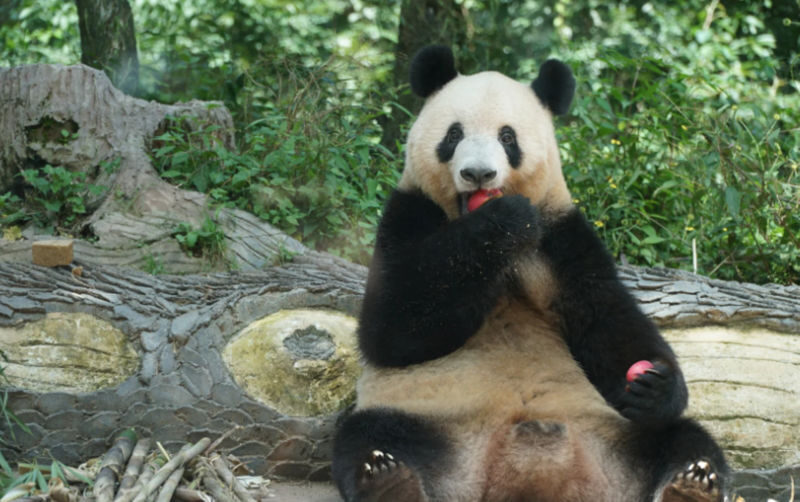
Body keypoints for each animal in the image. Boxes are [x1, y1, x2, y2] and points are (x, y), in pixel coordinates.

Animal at [332, 45, 729, 502]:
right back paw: (388, 478)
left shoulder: (561, 237)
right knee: (367, 434)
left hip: (614, 435)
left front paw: (654, 387)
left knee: (684, 438)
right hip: (432, 422)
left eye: (508, 138)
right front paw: (502, 220)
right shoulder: (410, 210)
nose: (478, 174)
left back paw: (692, 481)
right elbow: (393, 327)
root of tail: (533, 474)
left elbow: (605, 318)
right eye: (453, 135)